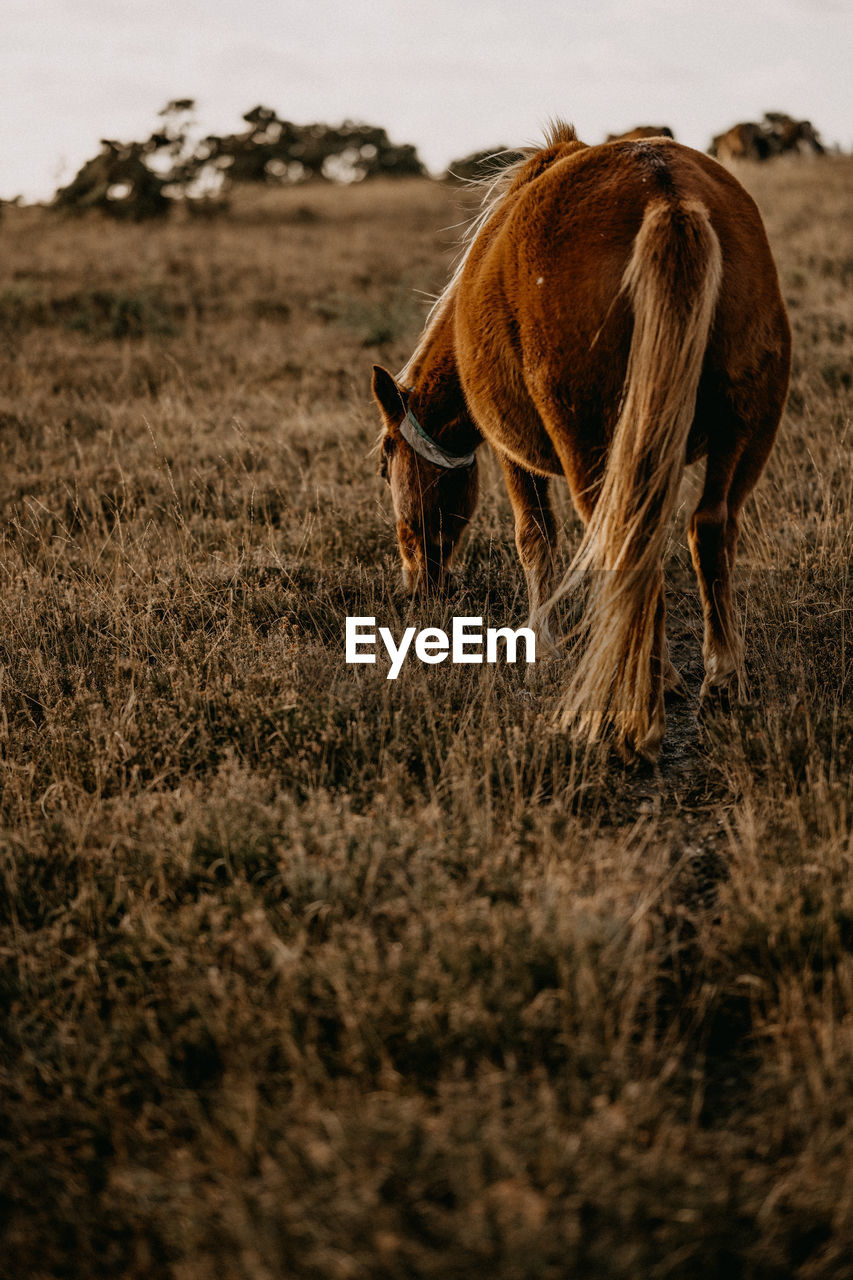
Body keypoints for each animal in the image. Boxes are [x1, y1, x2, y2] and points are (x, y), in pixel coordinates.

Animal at [371, 120, 788, 757]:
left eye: (384, 462)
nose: (414, 589)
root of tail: (666, 194)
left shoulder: (511, 453)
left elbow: (535, 540)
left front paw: (541, 650)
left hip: (595, 449)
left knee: (626, 547)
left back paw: (641, 704)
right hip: (743, 430)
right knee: (709, 529)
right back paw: (719, 680)